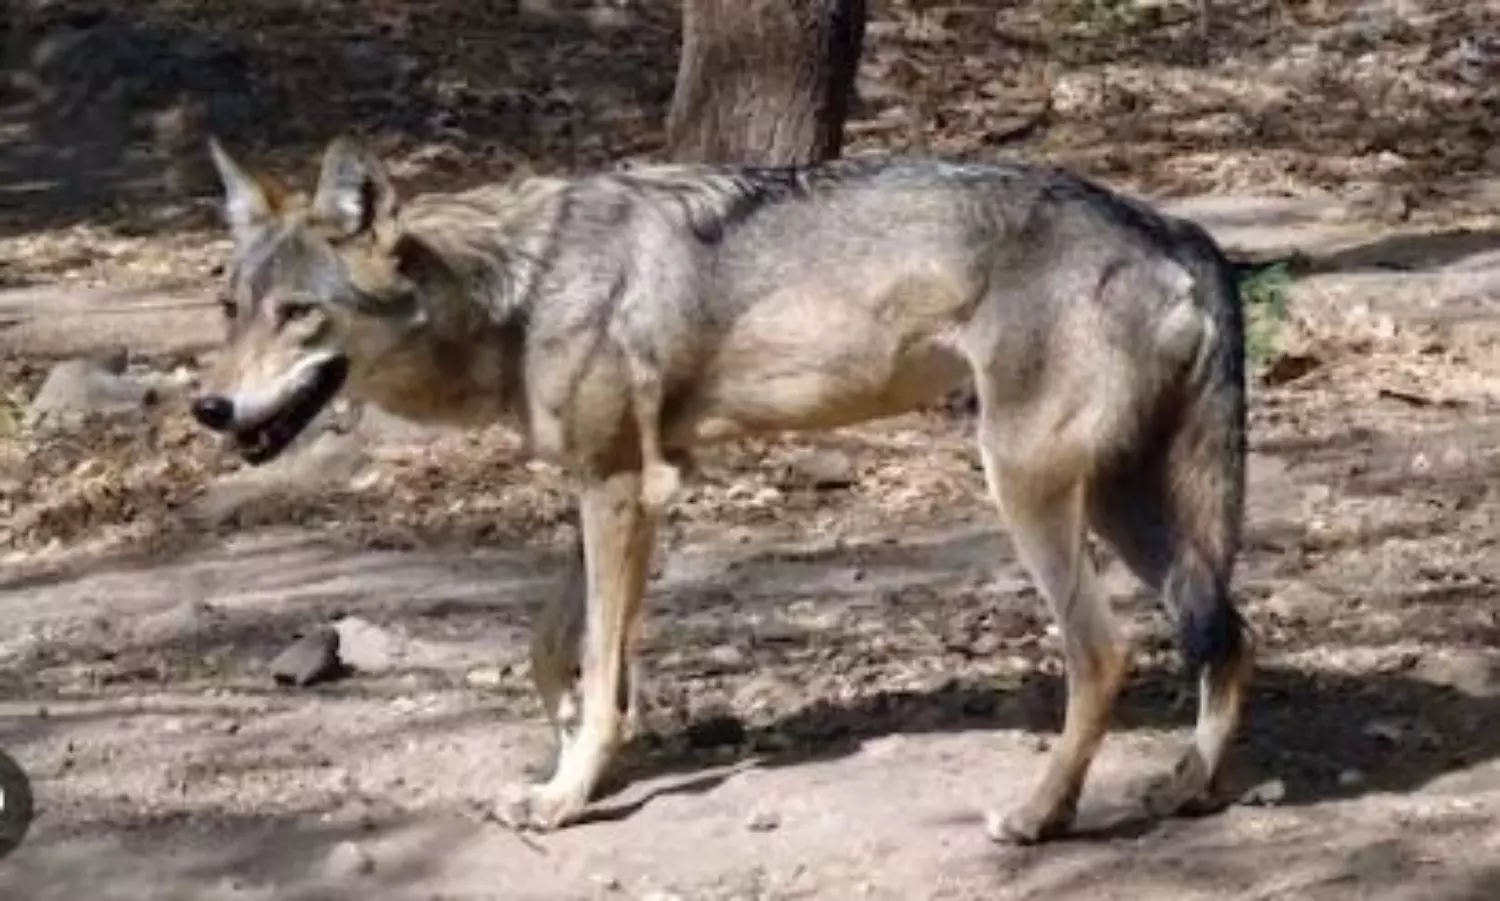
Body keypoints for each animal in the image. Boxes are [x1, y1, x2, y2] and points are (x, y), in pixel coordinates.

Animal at [191, 136, 1252, 843]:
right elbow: (554, 649)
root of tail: (1175, 228)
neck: (521, 285)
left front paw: (567, 793)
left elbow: (596, 658)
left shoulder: (625, 487)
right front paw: (576, 741)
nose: (208, 405)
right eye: (231, 308)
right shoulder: (617, 485)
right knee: (1227, 629)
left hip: (1030, 492)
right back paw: (1186, 787)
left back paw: (1039, 815)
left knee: (1105, 653)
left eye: (300, 314)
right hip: (1122, 504)